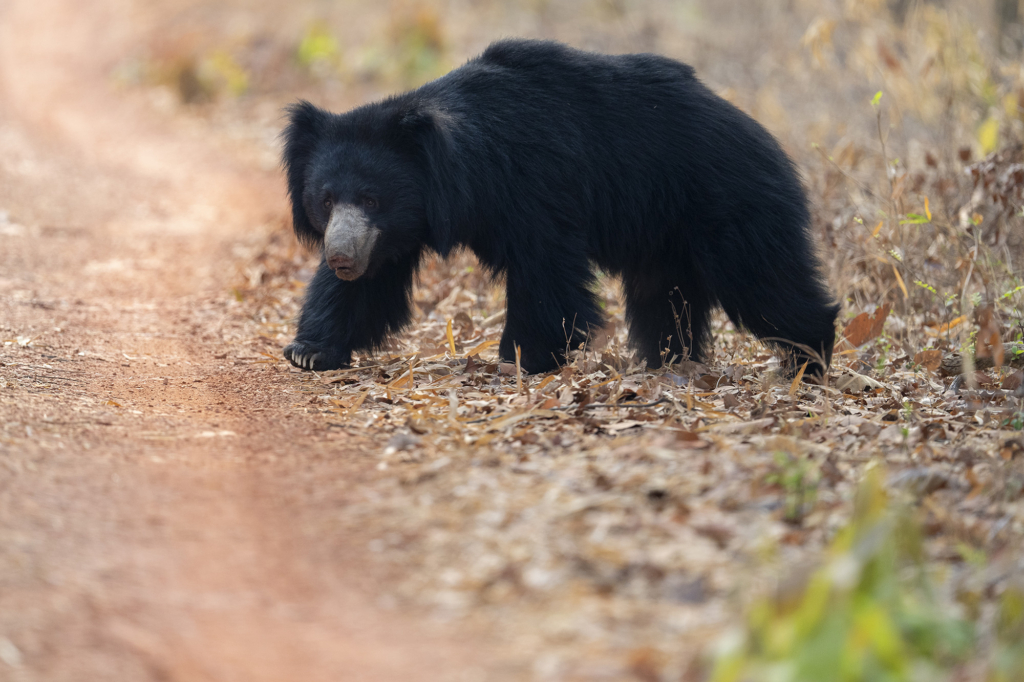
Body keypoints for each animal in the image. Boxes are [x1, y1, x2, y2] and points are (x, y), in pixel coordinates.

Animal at [282, 39, 839, 376]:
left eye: (372, 198)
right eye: (326, 200)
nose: (341, 256)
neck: (466, 168)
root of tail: (770, 142)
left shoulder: (537, 186)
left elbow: (545, 270)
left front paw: (524, 357)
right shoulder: (395, 231)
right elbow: (371, 283)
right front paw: (309, 351)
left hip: (727, 204)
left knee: (762, 280)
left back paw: (808, 359)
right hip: (665, 233)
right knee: (663, 296)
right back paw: (666, 362)